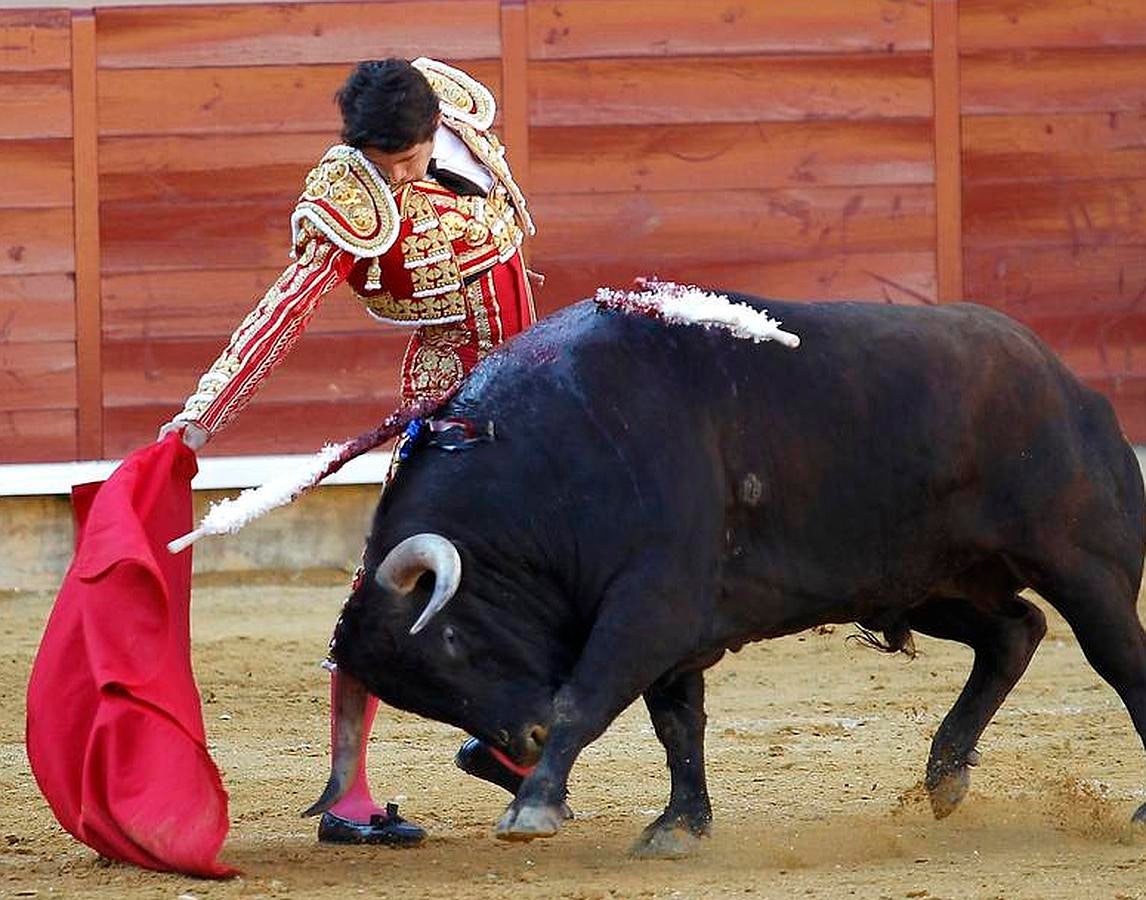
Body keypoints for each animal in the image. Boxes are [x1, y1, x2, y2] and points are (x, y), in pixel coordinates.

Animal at [304, 291, 1146, 852]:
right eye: (424, 696)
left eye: (452, 644)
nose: (526, 738)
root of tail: (1071, 385)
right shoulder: (671, 631)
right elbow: (677, 722)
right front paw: (679, 826)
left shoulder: (651, 606)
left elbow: (590, 695)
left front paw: (533, 809)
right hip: (925, 581)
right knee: (1014, 631)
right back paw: (943, 780)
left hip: (1085, 566)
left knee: (1118, 658)